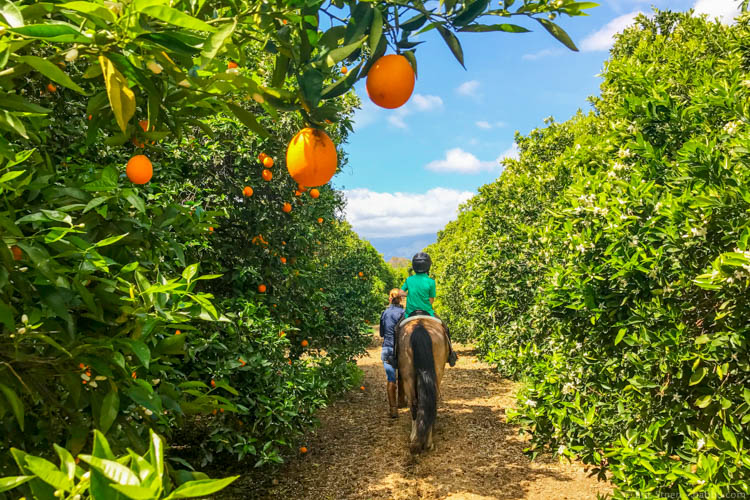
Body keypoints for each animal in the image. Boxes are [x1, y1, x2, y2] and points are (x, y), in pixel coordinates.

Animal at [396, 318, 450, 456]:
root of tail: (420, 326)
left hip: (408, 375)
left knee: (414, 404)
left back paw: (416, 438)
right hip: (436, 371)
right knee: (429, 403)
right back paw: (426, 442)